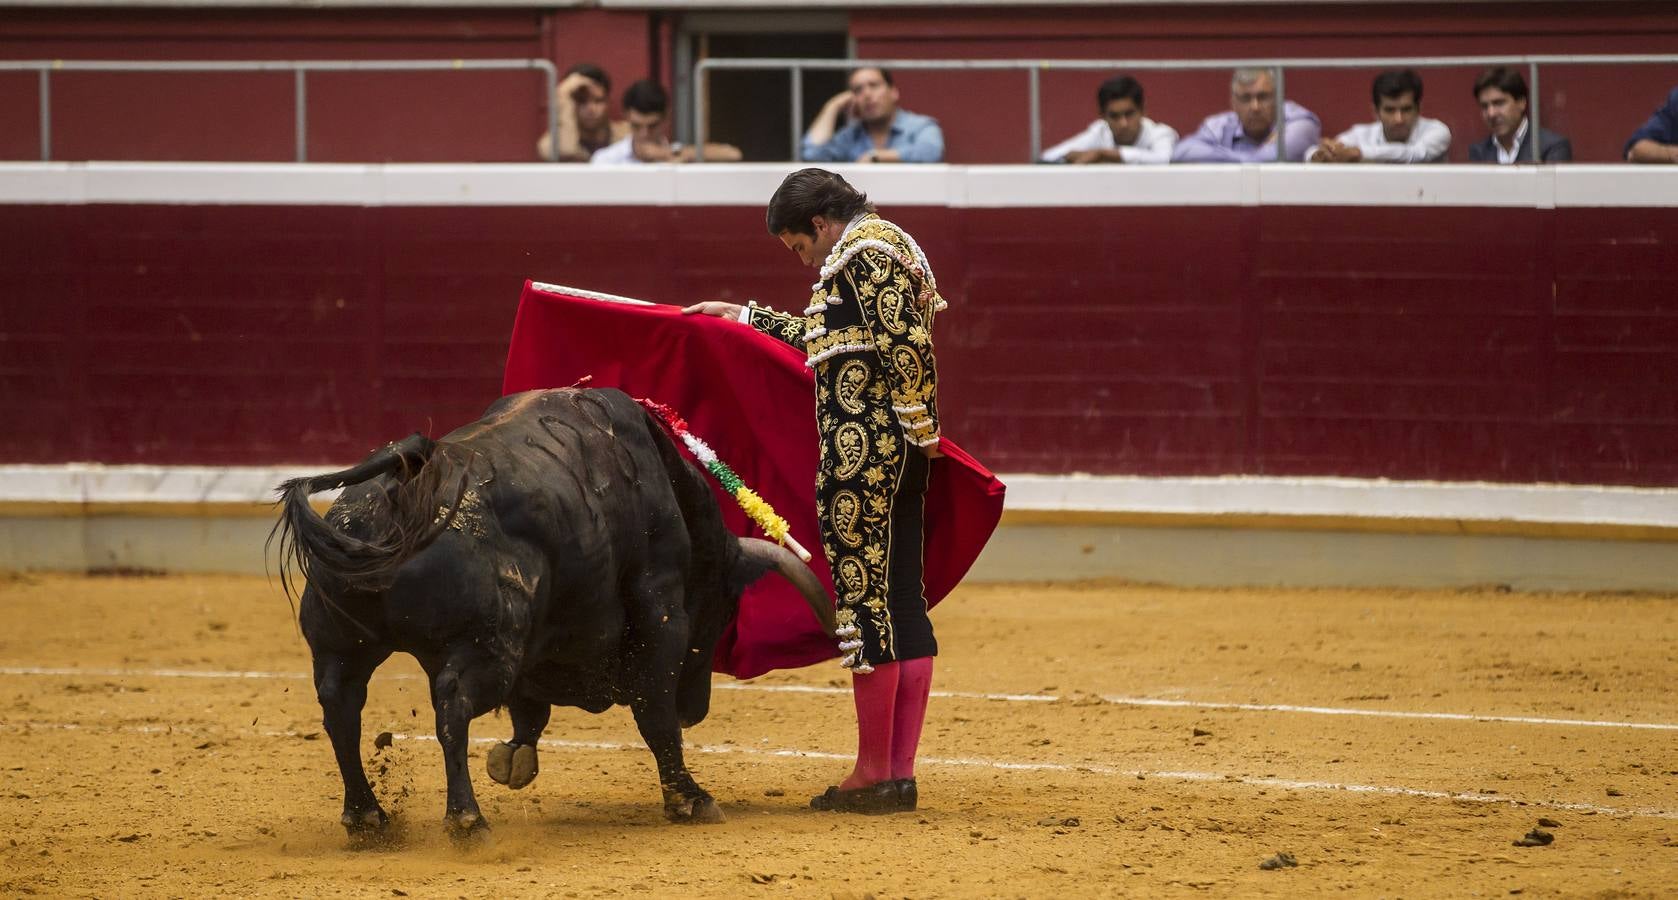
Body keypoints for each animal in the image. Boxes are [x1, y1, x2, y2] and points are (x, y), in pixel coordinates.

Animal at [270, 386, 839, 836]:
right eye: (721, 613)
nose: (695, 710)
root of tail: (401, 489)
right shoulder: (660, 615)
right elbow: (653, 712)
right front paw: (690, 798)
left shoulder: (542, 644)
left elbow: (531, 709)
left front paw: (513, 758)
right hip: (486, 649)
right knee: (451, 708)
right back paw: (466, 820)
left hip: (342, 647)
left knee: (341, 709)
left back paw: (367, 817)